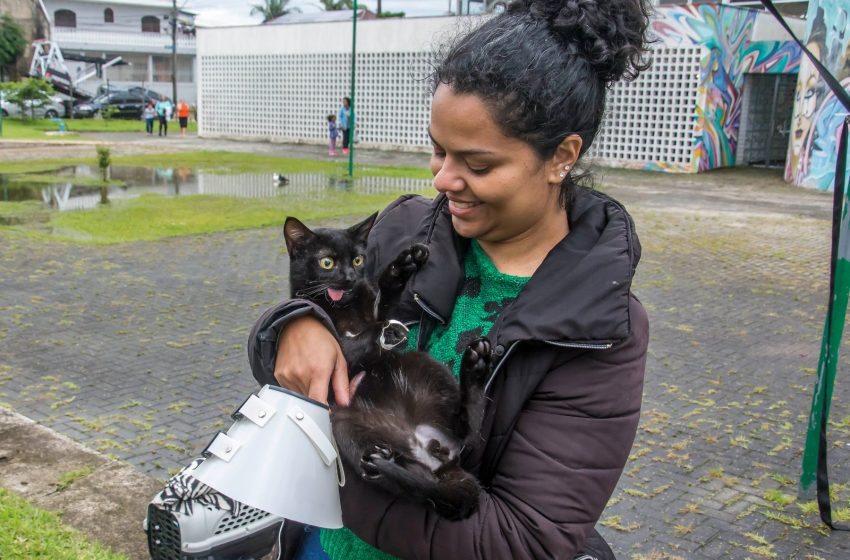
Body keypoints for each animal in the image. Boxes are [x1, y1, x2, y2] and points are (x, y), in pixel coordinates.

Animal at [282, 214, 486, 520]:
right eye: (327, 262)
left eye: (357, 260)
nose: (349, 278)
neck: (343, 307)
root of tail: (426, 446)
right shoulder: (332, 347)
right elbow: (351, 343)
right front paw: (385, 332)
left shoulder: (373, 306)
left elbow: (384, 302)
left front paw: (402, 267)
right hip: (341, 425)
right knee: (415, 482)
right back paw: (384, 462)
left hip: (424, 365)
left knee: (468, 431)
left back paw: (477, 368)